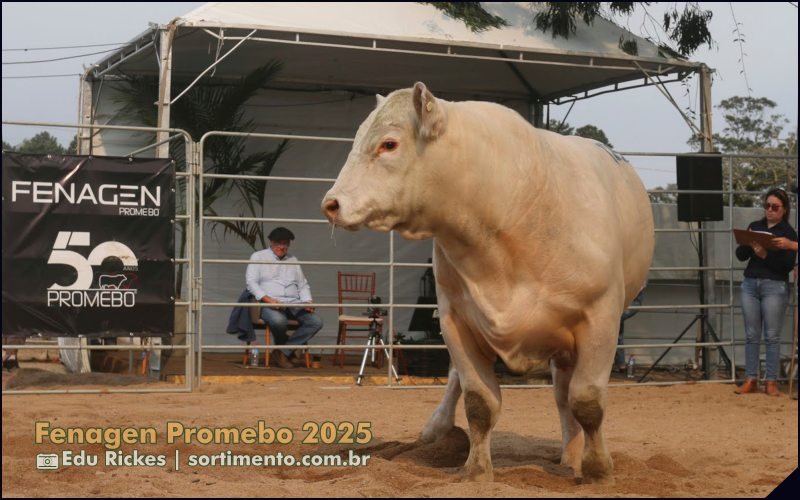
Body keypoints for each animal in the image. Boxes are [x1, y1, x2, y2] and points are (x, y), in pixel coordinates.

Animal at [322, 83, 652, 484]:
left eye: (389, 144)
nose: (331, 204)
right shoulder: (455, 319)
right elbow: (479, 401)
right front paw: (477, 470)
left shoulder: (600, 317)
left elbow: (587, 401)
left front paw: (599, 469)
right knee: (465, 381)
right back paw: (437, 429)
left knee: (564, 396)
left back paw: (572, 458)